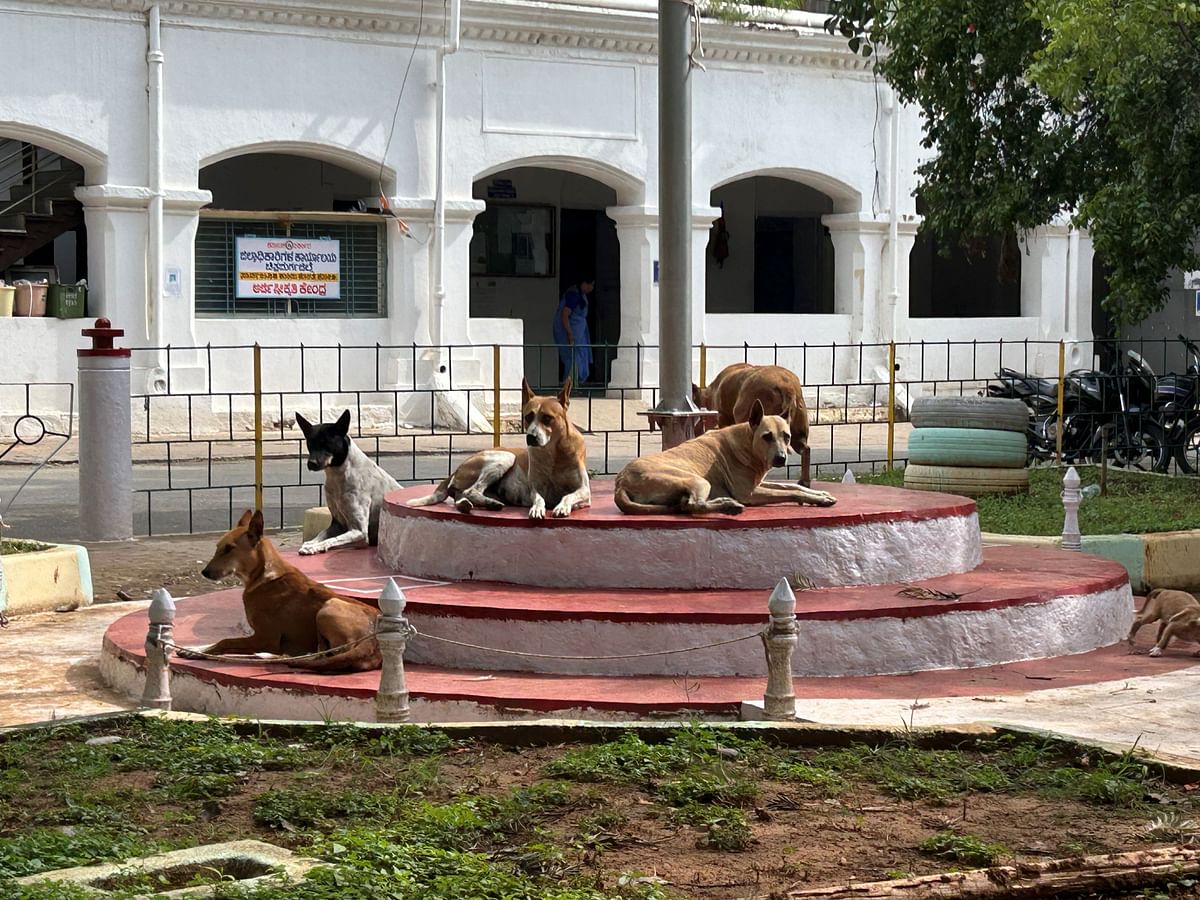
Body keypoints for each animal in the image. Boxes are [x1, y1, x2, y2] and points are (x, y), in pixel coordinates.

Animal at [196, 511, 381, 672]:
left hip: (330, 605)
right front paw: (197, 649)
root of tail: (371, 643)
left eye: (229, 548)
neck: (263, 576)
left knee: (330, 653)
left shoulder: (266, 639)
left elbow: (225, 641)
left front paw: (203, 652)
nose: (204, 572)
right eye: (218, 547)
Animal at [294, 410, 398, 556]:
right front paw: (311, 543)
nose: (311, 464)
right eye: (309, 444)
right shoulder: (337, 524)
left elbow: (332, 540)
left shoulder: (360, 533)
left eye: (327, 443)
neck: (337, 477)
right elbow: (322, 533)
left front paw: (315, 547)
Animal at [405, 379, 588, 520]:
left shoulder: (584, 491)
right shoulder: (535, 489)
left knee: (461, 496)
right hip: (505, 456)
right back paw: (487, 503)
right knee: (471, 490)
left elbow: (569, 495)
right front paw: (537, 508)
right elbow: (539, 499)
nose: (531, 437)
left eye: (548, 418)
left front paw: (562, 506)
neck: (553, 453)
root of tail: (457, 469)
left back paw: (471, 504)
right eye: (528, 417)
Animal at [614, 400, 840, 518]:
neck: (747, 442)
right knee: (693, 505)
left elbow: (793, 486)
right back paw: (726, 505)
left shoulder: (758, 482)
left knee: (686, 504)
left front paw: (818, 492)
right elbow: (791, 492)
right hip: (698, 480)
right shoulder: (750, 493)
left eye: (787, 437)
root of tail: (621, 482)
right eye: (767, 437)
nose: (780, 458)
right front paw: (818, 499)